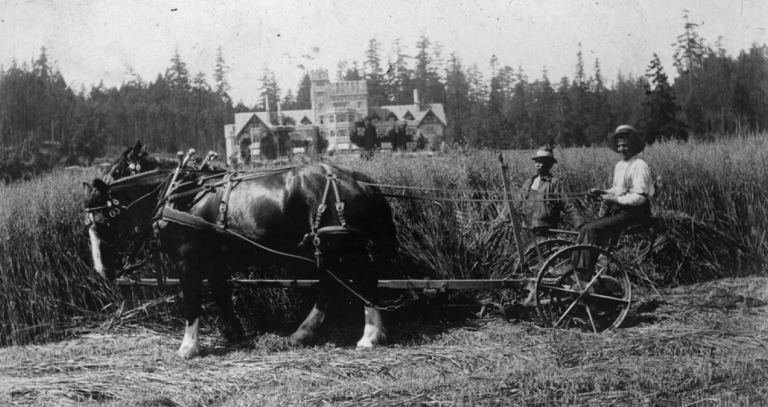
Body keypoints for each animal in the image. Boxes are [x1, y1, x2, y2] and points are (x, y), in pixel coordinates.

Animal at [84, 147, 398, 359]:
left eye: (101, 221)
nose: (103, 270)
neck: (181, 195)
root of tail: (358, 179)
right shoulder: (213, 259)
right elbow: (221, 293)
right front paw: (232, 332)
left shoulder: (188, 262)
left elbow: (192, 302)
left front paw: (188, 347)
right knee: (336, 283)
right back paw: (305, 334)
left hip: (343, 245)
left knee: (360, 280)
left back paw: (368, 335)